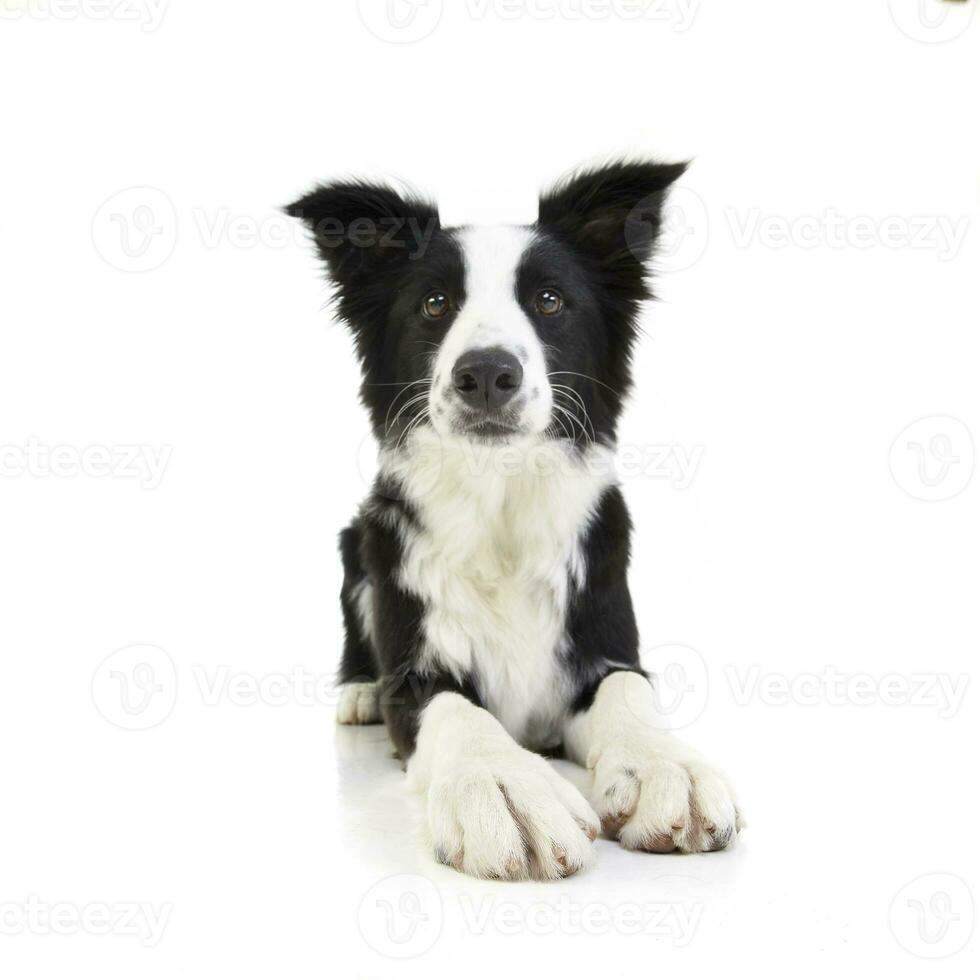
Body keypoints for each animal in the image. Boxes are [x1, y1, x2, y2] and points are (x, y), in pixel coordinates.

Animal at [290, 161, 744, 880]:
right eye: (434, 304)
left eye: (550, 301)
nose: (486, 373)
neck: (499, 507)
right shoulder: (417, 671)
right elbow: (456, 711)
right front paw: (504, 786)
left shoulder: (605, 643)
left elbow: (628, 693)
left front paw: (665, 766)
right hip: (359, 542)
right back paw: (358, 690)